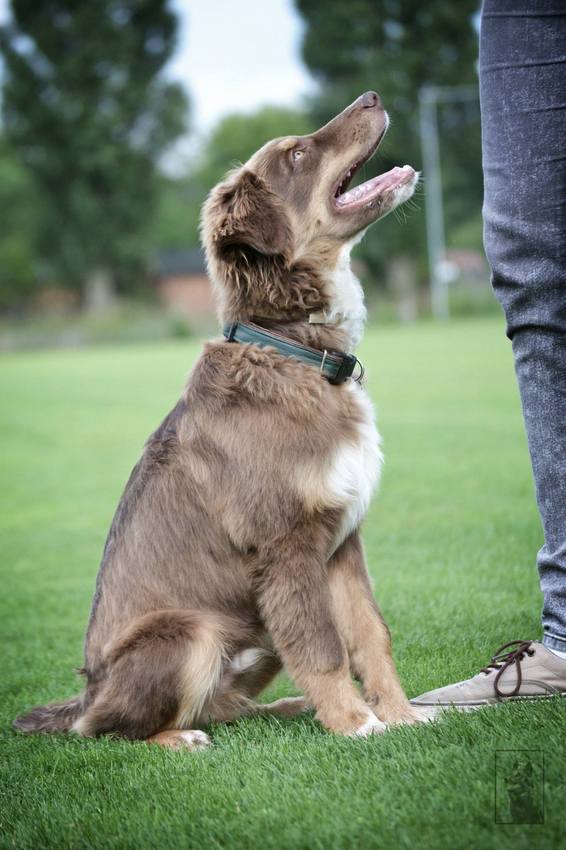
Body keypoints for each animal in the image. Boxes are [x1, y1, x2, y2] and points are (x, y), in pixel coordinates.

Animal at [15, 92, 422, 750]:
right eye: (297, 154)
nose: (373, 97)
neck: (294, 349)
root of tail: (86, 693)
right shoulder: (286, 547)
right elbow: (324, 647)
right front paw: (357, 724)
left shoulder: (341, 541)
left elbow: (370, 636)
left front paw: (403, 716)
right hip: (194, 632)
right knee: (110, 728)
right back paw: (178, 738)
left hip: (256, 634)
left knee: (222, 706)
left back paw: (282, 709)